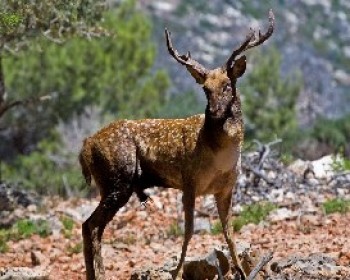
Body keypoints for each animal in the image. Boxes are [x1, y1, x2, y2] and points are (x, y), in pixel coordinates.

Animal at [79, 10, 274, 280]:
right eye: (205, 89)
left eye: (228, 85)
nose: (213, 113)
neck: (222, 158)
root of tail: (86, 147)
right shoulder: (189, 182)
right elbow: (189, 231)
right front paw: (178, 272)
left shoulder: (226, 188)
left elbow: (229, 232)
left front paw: (241, 272)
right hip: (117, 179)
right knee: (91, 225)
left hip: (113, 184)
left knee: (90, 226)